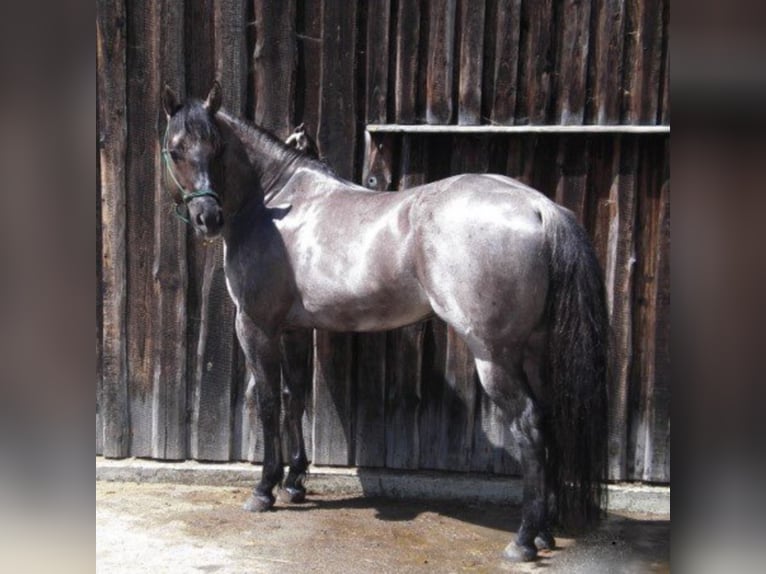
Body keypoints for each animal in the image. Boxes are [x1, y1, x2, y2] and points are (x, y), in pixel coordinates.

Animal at [159, 81, 610, 562]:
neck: (275, 202)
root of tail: (539, 206)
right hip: (534, 351)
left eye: (217, 147)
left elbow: (267, 403)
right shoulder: (295, 329)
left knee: (528, 426)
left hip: (495, 357)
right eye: (176, 149)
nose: (208, 219)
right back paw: (544, 532)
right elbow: (295, 397)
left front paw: (264, 490)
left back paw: (524, 540)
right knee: (549, 419)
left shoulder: (256, 326)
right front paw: (296, 482)